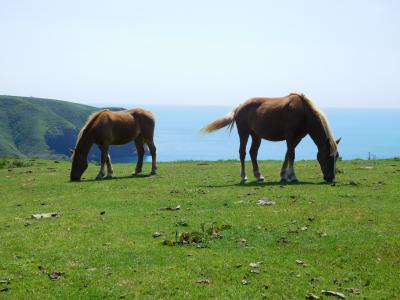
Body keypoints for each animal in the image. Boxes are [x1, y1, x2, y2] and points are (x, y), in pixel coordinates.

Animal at [202, 93, 340, 183]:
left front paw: (284, 176)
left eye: (337, 157)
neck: (303, 113)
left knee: (253, 153)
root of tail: (240, 106)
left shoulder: (297, 138)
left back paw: (259, 176)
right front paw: (293, 177)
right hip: (244, 133)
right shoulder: (290, 136)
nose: (331, 178)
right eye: (328, 156)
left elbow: (287, 155)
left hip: (256, 135)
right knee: (243, 153)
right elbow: (292, 155)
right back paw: (244, 177)